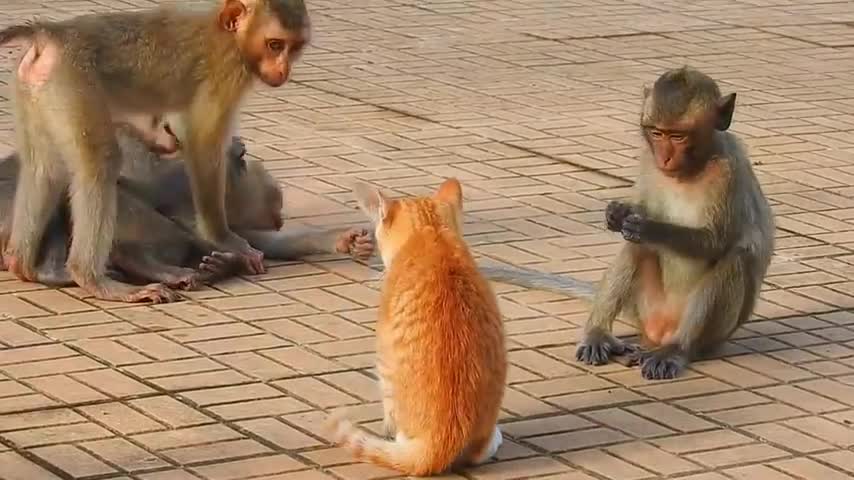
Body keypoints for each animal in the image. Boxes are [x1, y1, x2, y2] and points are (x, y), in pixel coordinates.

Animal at [0, 0, 310, 303]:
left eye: (293, 47)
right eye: (275, 45)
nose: (283, 70)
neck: (232, 39)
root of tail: (51, 33)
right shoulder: (226, 74)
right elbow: (203, 146)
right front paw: (227, 240)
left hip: (36, 89)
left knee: (44, 167)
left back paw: (23, 264)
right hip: (71, 82)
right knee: (101, 163)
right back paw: (92, 278)